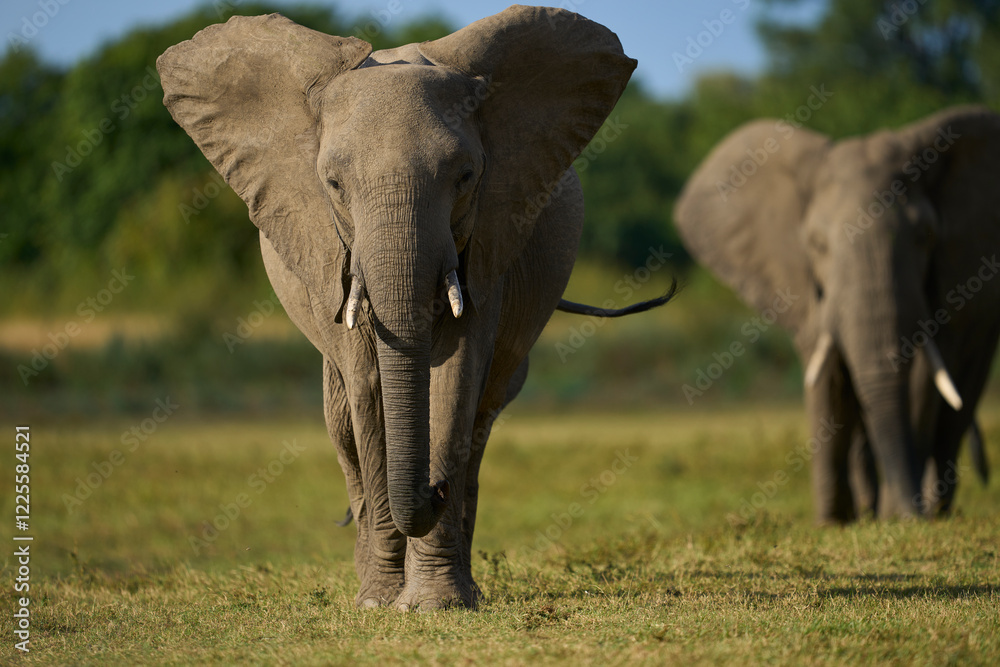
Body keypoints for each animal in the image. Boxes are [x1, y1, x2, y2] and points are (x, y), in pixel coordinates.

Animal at [158, 7, 671, 609]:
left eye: (466, 177)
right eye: (333, 184)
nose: (435, 487)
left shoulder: (489, 244)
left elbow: (456, 382)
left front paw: (437, 604)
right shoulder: (334, 256)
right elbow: (369, 385)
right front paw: (380, 603)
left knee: (481, 418)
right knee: (343, 424)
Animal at [674, 106, 1000, 523]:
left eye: (924, 237)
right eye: (816, 244)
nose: (907, 512)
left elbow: (925, 378)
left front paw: (898, 518)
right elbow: (828, 375)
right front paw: (835, 522)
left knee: (959, 399)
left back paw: (932, 508)